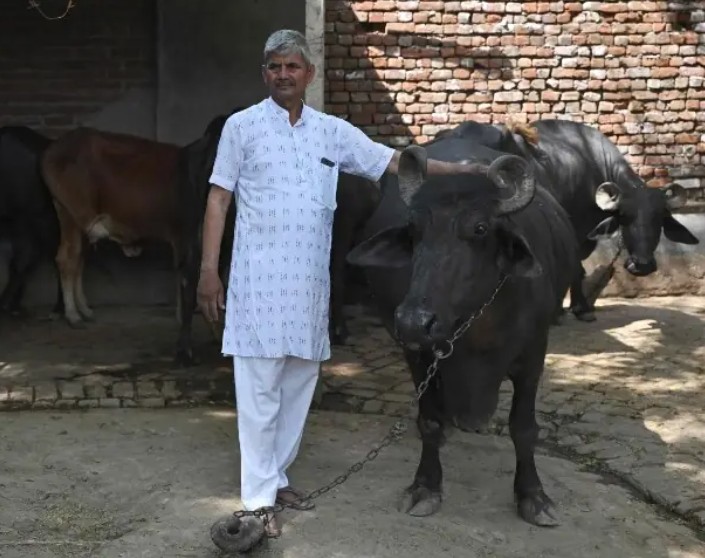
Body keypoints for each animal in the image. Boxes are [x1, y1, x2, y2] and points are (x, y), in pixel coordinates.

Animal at [346, 125, 578, 526]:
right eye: (414, 229)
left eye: (480, 228)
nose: (413, 321)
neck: (476, 328)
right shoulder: (417, 355)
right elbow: (428, 420)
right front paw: (425, 486)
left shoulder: (535, 353)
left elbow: (524, 427)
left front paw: (533, 495)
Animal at [498, 119, 699, 321]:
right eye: (624, 217)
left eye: (659, 219)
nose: (642, 265)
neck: (596, 163)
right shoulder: (576, 233)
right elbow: (576, 268)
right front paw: (580, 309)